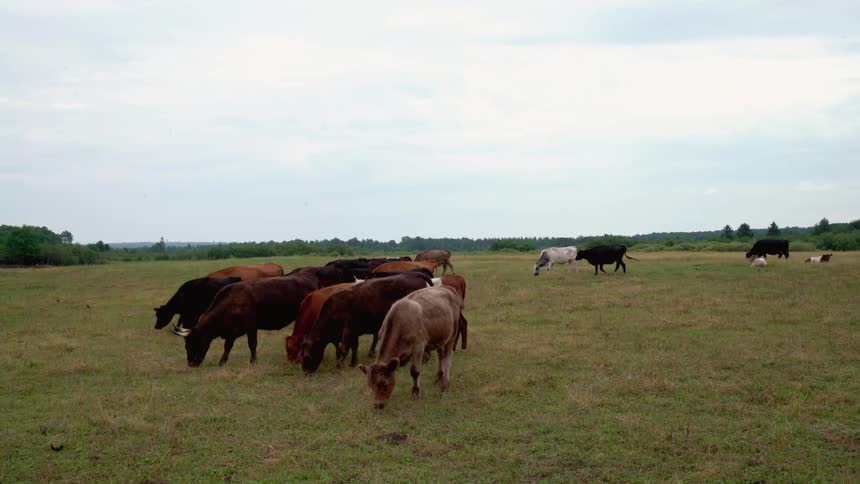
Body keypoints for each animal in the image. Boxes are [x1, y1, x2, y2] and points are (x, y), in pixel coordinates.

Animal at [171, 274, 319, 367]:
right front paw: (222, 362)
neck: (231, 303)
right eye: (186, 346)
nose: (191, 364)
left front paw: (253, 362)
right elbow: (227, 347)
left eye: (192, 343)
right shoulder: (231, 332)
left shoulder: (251, 327)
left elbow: (252, 345)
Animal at [300, 272, 432, 373]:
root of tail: (414, 274)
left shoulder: (348, 330)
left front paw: (339, 367)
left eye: (307, 356)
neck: (335, 309)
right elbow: (354, 347)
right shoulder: (353, 331)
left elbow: (344, 349)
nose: (306, 372)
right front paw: (353, 363)